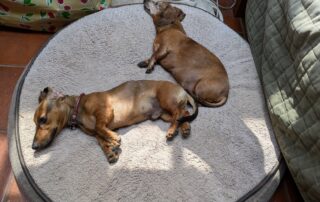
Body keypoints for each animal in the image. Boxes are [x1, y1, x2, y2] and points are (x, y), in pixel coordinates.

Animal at [32, 79, 198, 163]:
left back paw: (172, 130)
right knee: (183, 114)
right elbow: (100, 138)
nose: (33, 146)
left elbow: (99, 127)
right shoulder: (97, 131)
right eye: (35, 122)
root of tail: (183, 91)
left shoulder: (104, 111)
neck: (79, 107)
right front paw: (110, 150)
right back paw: (184, 128)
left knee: (179, 114)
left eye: (42, 119)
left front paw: (114, 140)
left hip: (166, 101)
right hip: (164, 113)